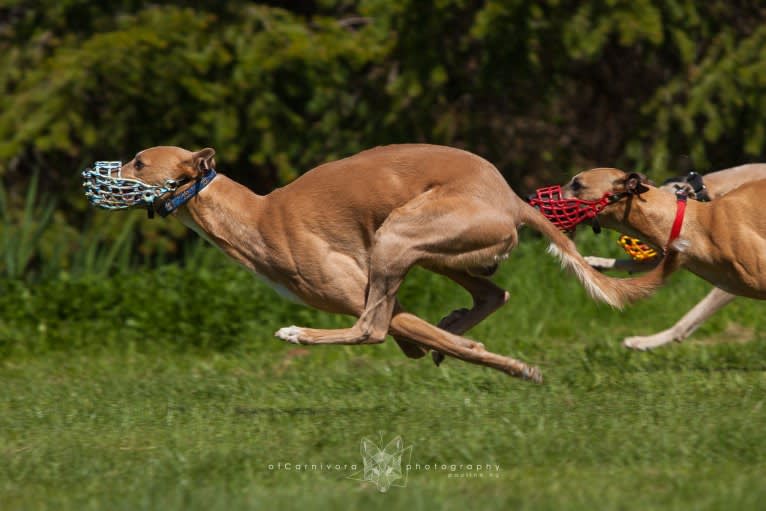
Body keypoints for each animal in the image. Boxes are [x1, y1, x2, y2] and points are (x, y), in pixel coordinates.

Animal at [82, 146, 672, 382]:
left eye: (140, 161)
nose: (96, 175)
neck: (259, 215)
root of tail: (511, 198)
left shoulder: (365, 293)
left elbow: (389, 328)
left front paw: (513, 367)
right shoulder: (388, 296)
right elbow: (418, 336)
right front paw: (452, 343)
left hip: (398, 236)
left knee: (370, 328)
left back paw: (299, 334)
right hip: (432, 251)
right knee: (492, 293)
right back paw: (456, 323)